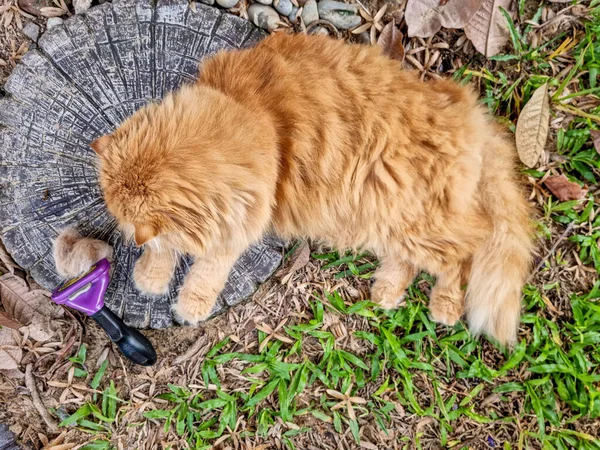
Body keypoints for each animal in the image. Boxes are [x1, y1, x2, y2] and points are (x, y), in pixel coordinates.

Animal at [91, 33, 532, 346]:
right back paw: (385, 292)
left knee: (467, 248)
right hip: (390, 224)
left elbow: (207, 268)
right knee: (412, 260)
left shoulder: (245, 213)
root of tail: (465, 110)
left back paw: (444, 306)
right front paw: (151, 277)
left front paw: (188, 304)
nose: (122, 234)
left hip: (417, 223)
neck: (251, 113)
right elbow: (164, 246)